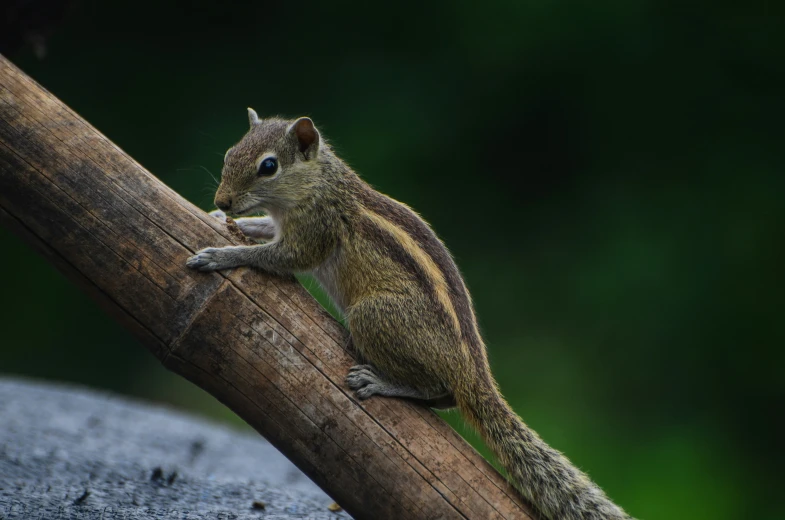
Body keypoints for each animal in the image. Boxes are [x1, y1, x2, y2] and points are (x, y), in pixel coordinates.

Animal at [188, 109, 632, 520]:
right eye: (229, 153)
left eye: (268, 166)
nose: (222, 200)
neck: (319, 183)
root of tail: (474, 374)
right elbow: (262, 230)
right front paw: (221, 219)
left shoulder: (314, 232)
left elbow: (276, 256)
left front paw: (222, 254)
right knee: (445, 397)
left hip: (370, 316)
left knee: (435, 387)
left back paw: (380, 382)